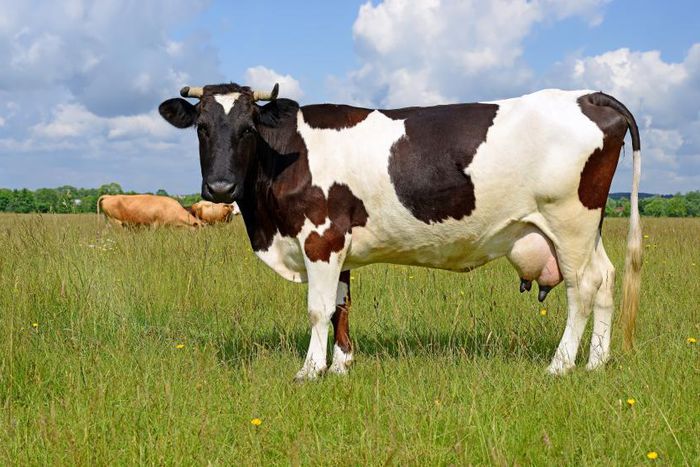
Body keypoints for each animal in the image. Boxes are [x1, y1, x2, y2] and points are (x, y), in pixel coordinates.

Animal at [159, 83, 642, 381]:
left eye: (247, 128)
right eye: (202, 128)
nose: (220, 187)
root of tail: (587, 96)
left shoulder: (321, 236)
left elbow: (318, 309)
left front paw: (310, 371)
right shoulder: (341, 244)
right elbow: (342, 305)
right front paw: (341, 365)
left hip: (569, 222)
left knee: (582, 288)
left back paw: (560, 365)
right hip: (587, 229)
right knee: (606, 279)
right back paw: (597, 363)